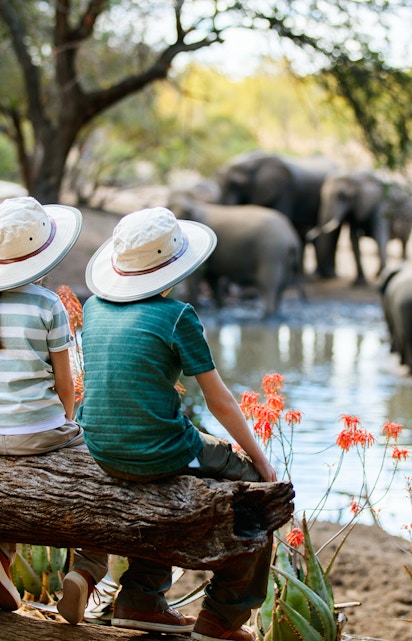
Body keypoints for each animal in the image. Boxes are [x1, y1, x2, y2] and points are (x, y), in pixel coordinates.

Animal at [168, 191, 304, 317]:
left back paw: (267, 316)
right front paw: (220, 306)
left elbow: (198, 276)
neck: (194, 203)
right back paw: (276, 313)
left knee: (268, 284)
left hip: (271, 253)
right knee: (282, 285)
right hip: (283, 257)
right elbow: (212, 277)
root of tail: (292, 238)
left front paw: (198, 306)